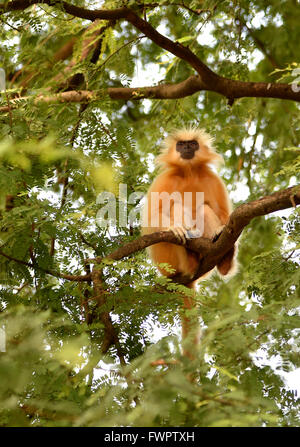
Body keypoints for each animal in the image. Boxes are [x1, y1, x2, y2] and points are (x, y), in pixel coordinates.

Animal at [142, 128, 238, 358]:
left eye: (192, 144)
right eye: (181, 144)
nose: (186, 148)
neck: (189, 172)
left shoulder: (213, 179)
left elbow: (223, 215)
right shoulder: (164, 179)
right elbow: (152, 218)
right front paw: (173, 228)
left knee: (206, 209)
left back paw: (225, 258)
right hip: (168, 261)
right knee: (175, 206)